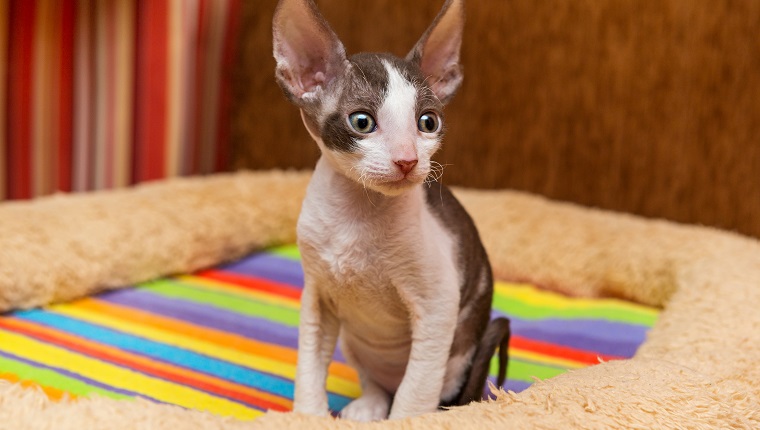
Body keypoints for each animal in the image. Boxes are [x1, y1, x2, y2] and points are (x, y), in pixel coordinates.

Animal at [272, 0, 510, 420]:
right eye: (362, 122)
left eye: (427, 122)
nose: (407, 160)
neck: (356, 216)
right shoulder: (317, 296)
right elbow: (309, 365)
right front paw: (308, 415)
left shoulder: (438, 305)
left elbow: (416, 392)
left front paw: (405, 421)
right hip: (354, 344)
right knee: (377, 382)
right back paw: (369, 405)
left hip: (458, 357)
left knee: (429, 389)